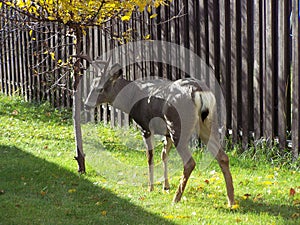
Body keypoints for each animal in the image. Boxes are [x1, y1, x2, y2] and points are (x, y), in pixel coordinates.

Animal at [83, 59, 236, 207]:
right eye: (91, 86)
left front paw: (150, 188)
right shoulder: (166, 133)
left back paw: (176, 199)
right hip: (209, 123)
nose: (86, 104)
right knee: (223, 157)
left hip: (177, 124)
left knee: (190, 162)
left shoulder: (145, 127)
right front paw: (165, 186)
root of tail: (198, 91)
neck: (132, 98)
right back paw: (231, 201)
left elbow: (149, 157)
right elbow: (164, 155)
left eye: (100, 88)